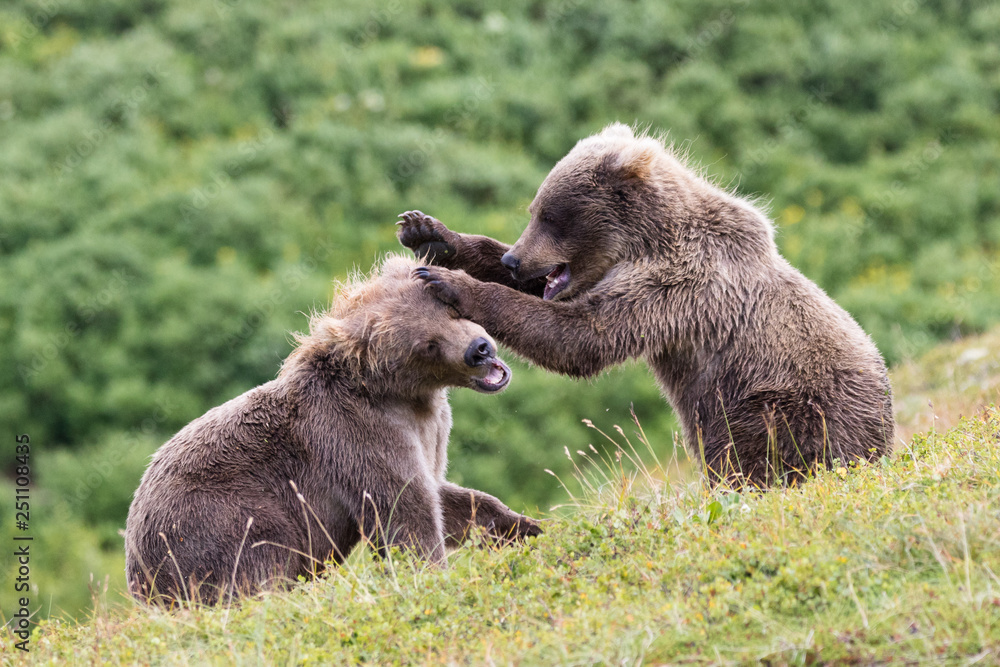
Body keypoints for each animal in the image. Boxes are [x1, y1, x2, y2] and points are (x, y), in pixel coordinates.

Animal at [124, 255, 540, 606]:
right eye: (428, 345)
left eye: (448, 309)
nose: (479, 349)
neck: (403, 396)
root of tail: (140, 580)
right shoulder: (357, 436)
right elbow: (405, 511)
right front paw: (432, 575)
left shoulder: (428, 433)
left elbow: (445, 496)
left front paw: (525, 527)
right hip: (212, 518)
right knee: (256, 557)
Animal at [397, 123, 894, 487]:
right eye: (534, 210)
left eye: (552, 216)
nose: (515, 260)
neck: (645, 241)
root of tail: (883, 443)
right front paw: (431, 235)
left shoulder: (679, 286)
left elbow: (582, 335)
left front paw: (450, 283)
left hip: (782, 402)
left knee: (753, 446)